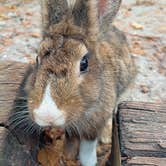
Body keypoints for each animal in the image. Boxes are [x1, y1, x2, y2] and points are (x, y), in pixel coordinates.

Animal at [15, 0, 136, 165]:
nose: (46, 116)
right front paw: (67, 156)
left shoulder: (95, 123)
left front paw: (88, 162)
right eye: (37, 59)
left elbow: (87, 148)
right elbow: (71, 139)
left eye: (84, 63)